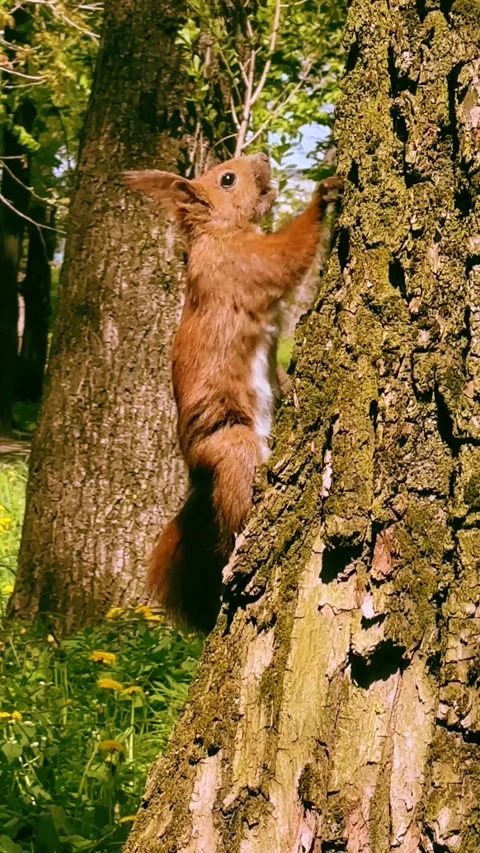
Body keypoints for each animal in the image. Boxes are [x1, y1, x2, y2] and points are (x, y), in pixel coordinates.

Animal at [124, 153, 343, 633]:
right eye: (227, 178)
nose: (262, 158)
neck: (221, 234)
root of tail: (198, 477)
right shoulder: (243, 266)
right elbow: (285, 257)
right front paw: (323, 196)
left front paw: (291, 383)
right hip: (233, 445)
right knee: (235, 510)